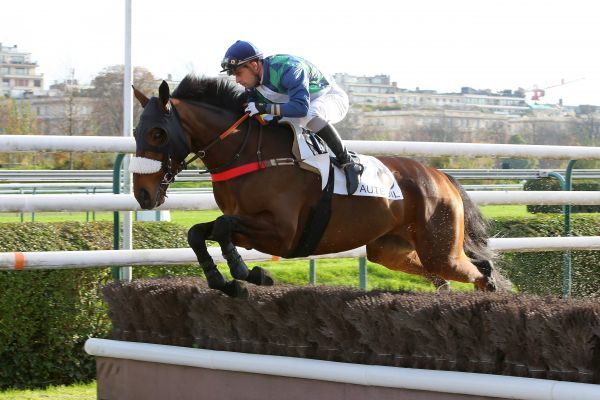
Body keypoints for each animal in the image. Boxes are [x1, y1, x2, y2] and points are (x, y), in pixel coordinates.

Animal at [130, 76, 502, 298]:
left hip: (440, 249)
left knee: (475, 271)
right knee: (448, 272)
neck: (249, 153)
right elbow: (199, 231)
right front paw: (224, 281)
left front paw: (249, 273)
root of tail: (442, 176)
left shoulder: (283, 233)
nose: (142, 194)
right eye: (136, 132)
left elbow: (221, 228)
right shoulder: (248, 224)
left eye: (158, 133)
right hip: (390, 249)